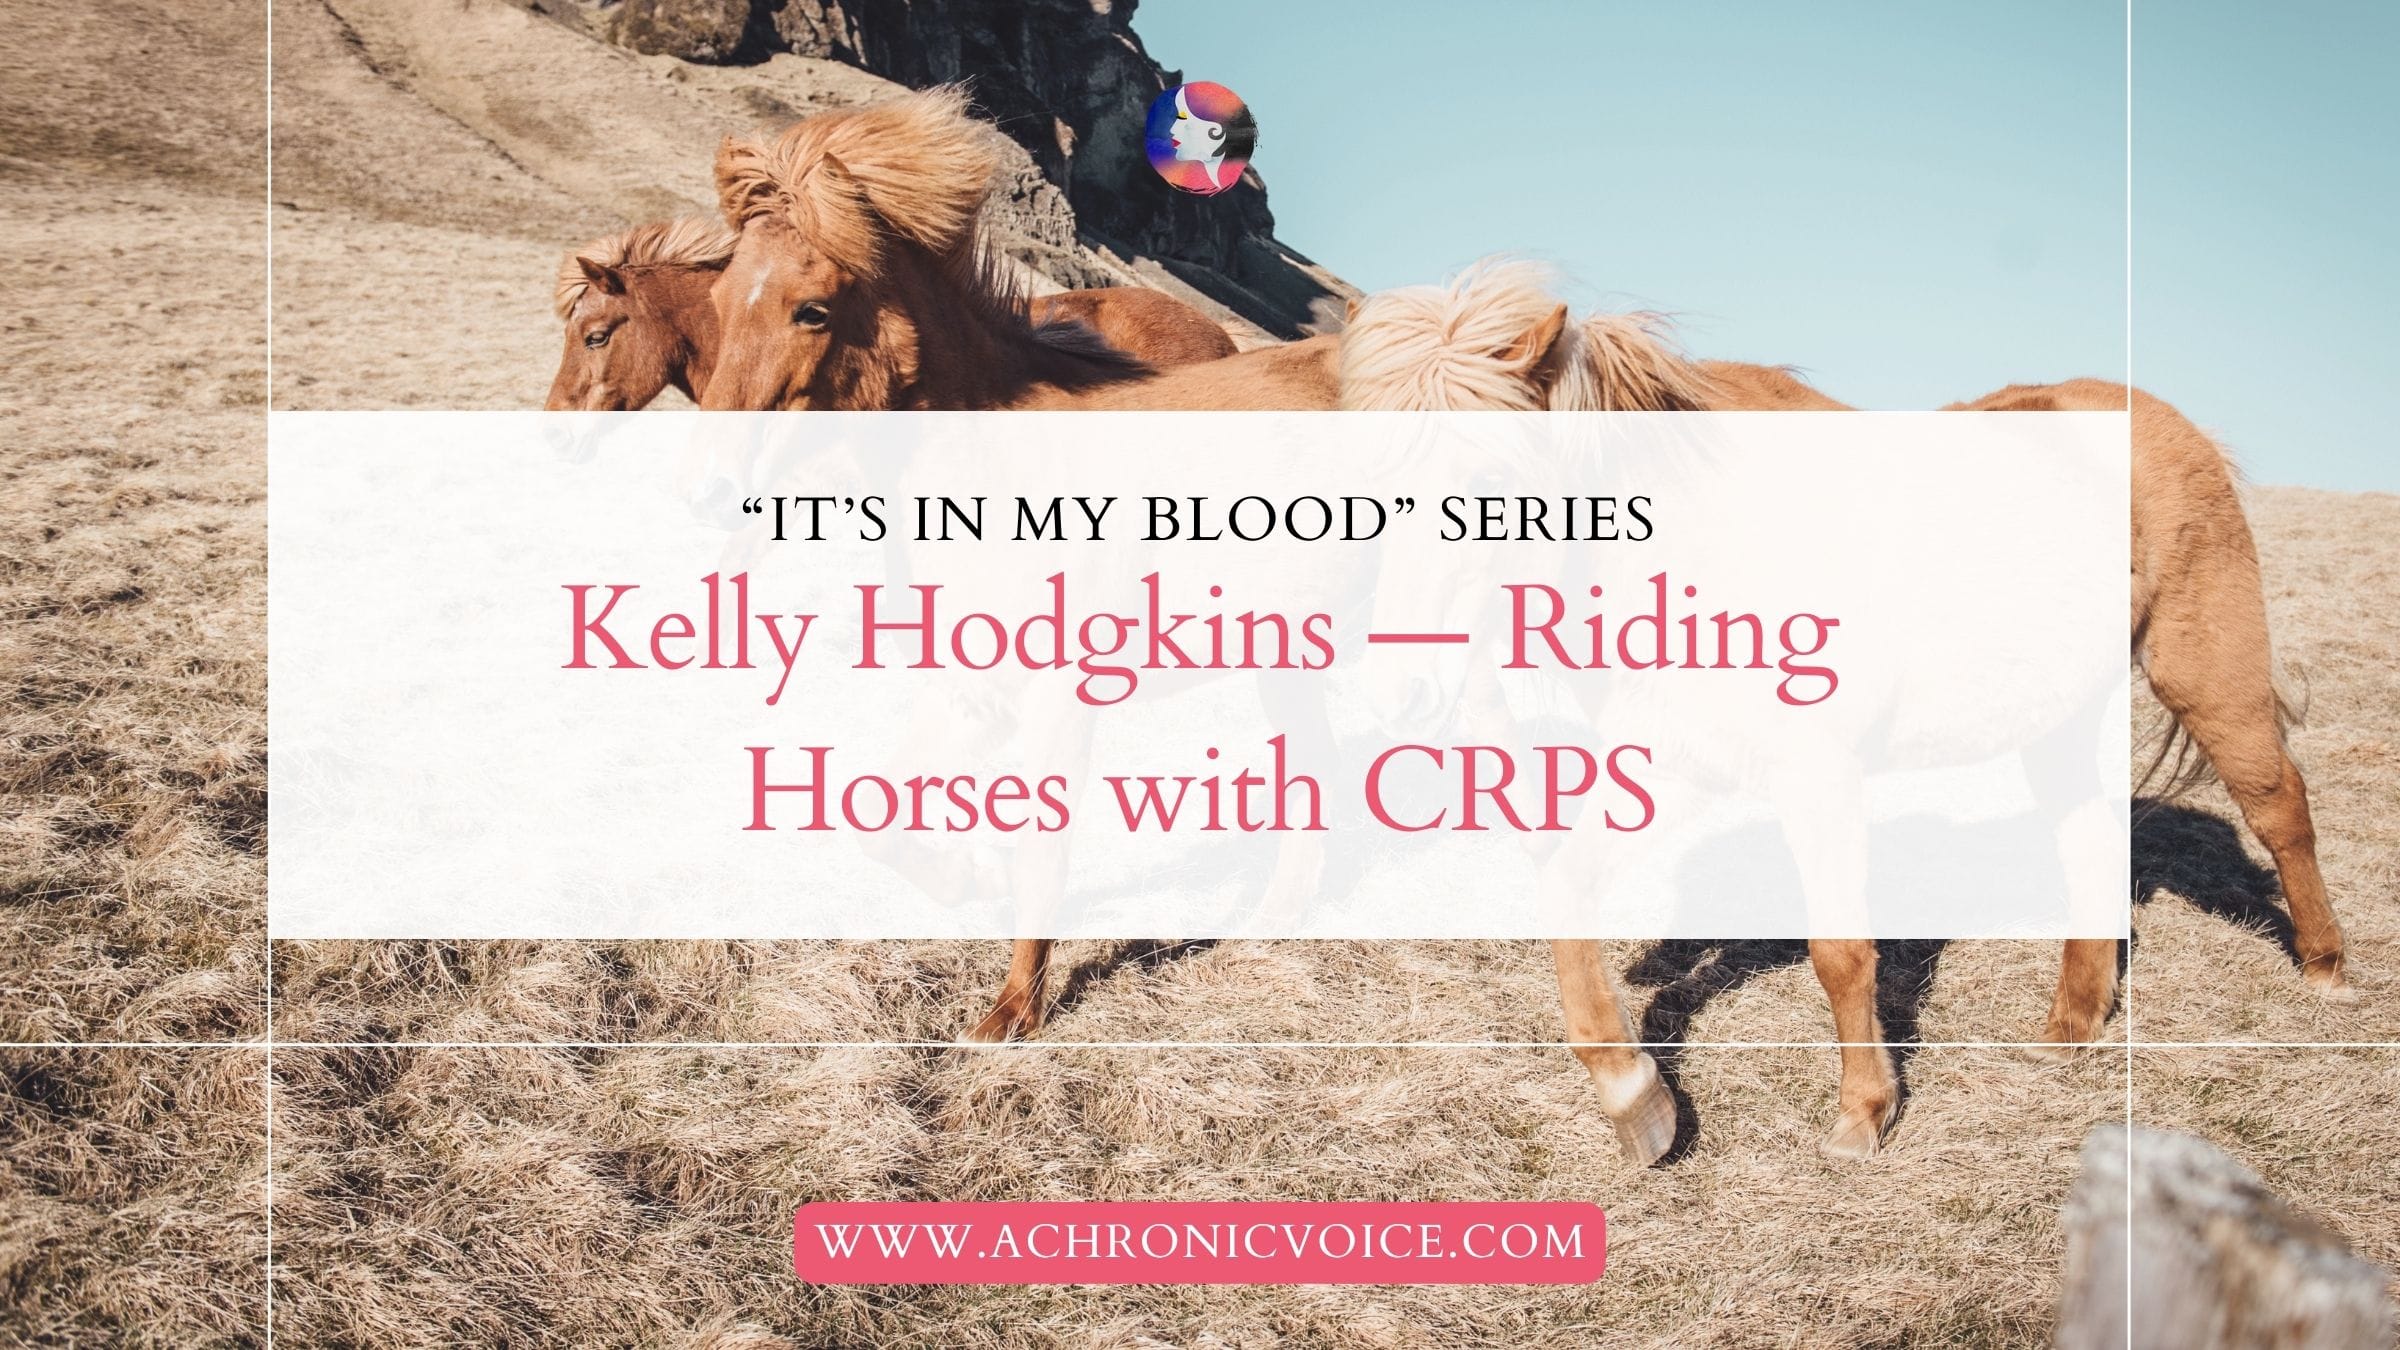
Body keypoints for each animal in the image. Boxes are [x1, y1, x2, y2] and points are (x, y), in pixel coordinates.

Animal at [1336, 258, 2348, 1163]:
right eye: (1372, 493)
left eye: (1487, 487)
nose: (1399, 690)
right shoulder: (1676, 760)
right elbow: (1567, 893)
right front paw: (1637, 1101)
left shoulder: (1816, 773)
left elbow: (1840, 952)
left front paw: (1864, 1112)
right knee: (2089, 841)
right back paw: (2071, 1028)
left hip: (2203, 670)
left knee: (2278, 805)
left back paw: (2326, 971)